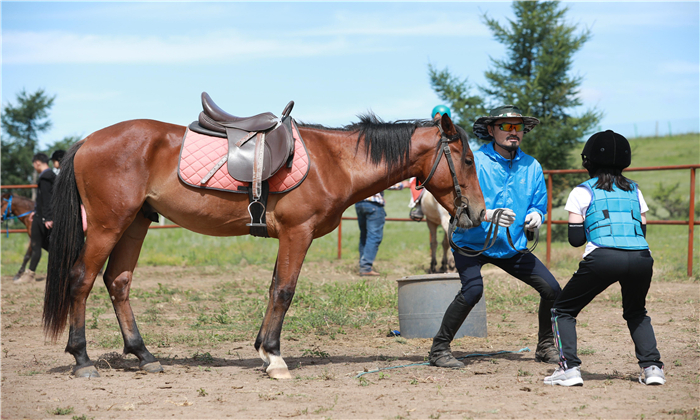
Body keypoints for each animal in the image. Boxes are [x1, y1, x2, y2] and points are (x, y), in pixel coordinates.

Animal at [45, 112, 486, 380]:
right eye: (466, 160)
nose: (479, 213)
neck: (333, 162)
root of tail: (87, 140)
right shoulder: (297, 233)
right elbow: (285, 291)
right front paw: (274, 358)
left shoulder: (287, 238)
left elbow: (274, 288)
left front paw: (262, 349)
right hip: (107, 225)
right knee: (81, 280)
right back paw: (82, 359)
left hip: (134, 224)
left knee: (118, 283)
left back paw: (144, 355)